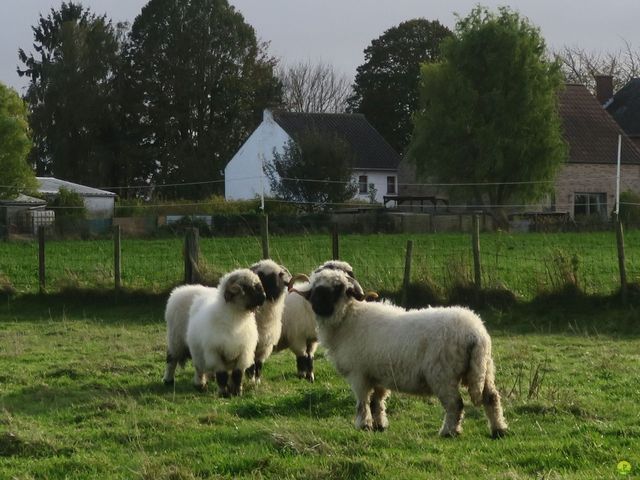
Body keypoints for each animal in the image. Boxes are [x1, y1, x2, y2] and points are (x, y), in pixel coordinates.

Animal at [186, 270, 266, 398]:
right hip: (198, 354)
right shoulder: (215, 353)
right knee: (200, 370)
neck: (235, 321)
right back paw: (200, 384)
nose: (264, 297)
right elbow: (222, 375)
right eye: (246, 287)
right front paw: (223, 393)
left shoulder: (243, 353)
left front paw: (237, 392)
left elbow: (237, 375)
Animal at [302, 268, 510, 436]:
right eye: (315, 289)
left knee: (455, 405)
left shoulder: (359, 374)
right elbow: (377, 402)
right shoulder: (379, 375)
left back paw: (448, 432)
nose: (317, 305)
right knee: (491, 398)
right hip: (484, 368)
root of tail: (475, 333)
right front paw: (379, 426)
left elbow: (362, 402)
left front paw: (363, 426)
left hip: (443, 374)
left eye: (338, 288)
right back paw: (499, 430)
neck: (348, 318)